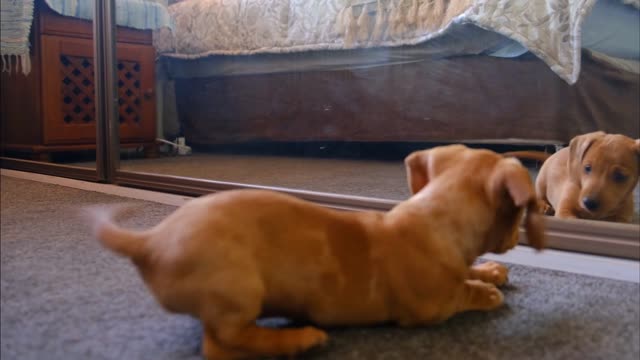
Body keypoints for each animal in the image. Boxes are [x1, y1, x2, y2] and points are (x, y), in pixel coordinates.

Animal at [91, 145, 544, 358]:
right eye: (518, 213)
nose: (512, 243)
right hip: (239, 291)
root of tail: (149, 240)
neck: (434, 217)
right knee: (221, 345)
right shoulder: (431, 307)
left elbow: (468, 270)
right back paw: (296, 339)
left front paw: (489, 271)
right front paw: (487, 291)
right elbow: (463, 292)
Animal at [508, 131, 636, 222]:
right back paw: (543, 206)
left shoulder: (622, 219)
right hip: (541, 183)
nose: (589, 203)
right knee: (539, 196)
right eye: (587, 168)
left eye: (620, 176)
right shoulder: (565, 211)